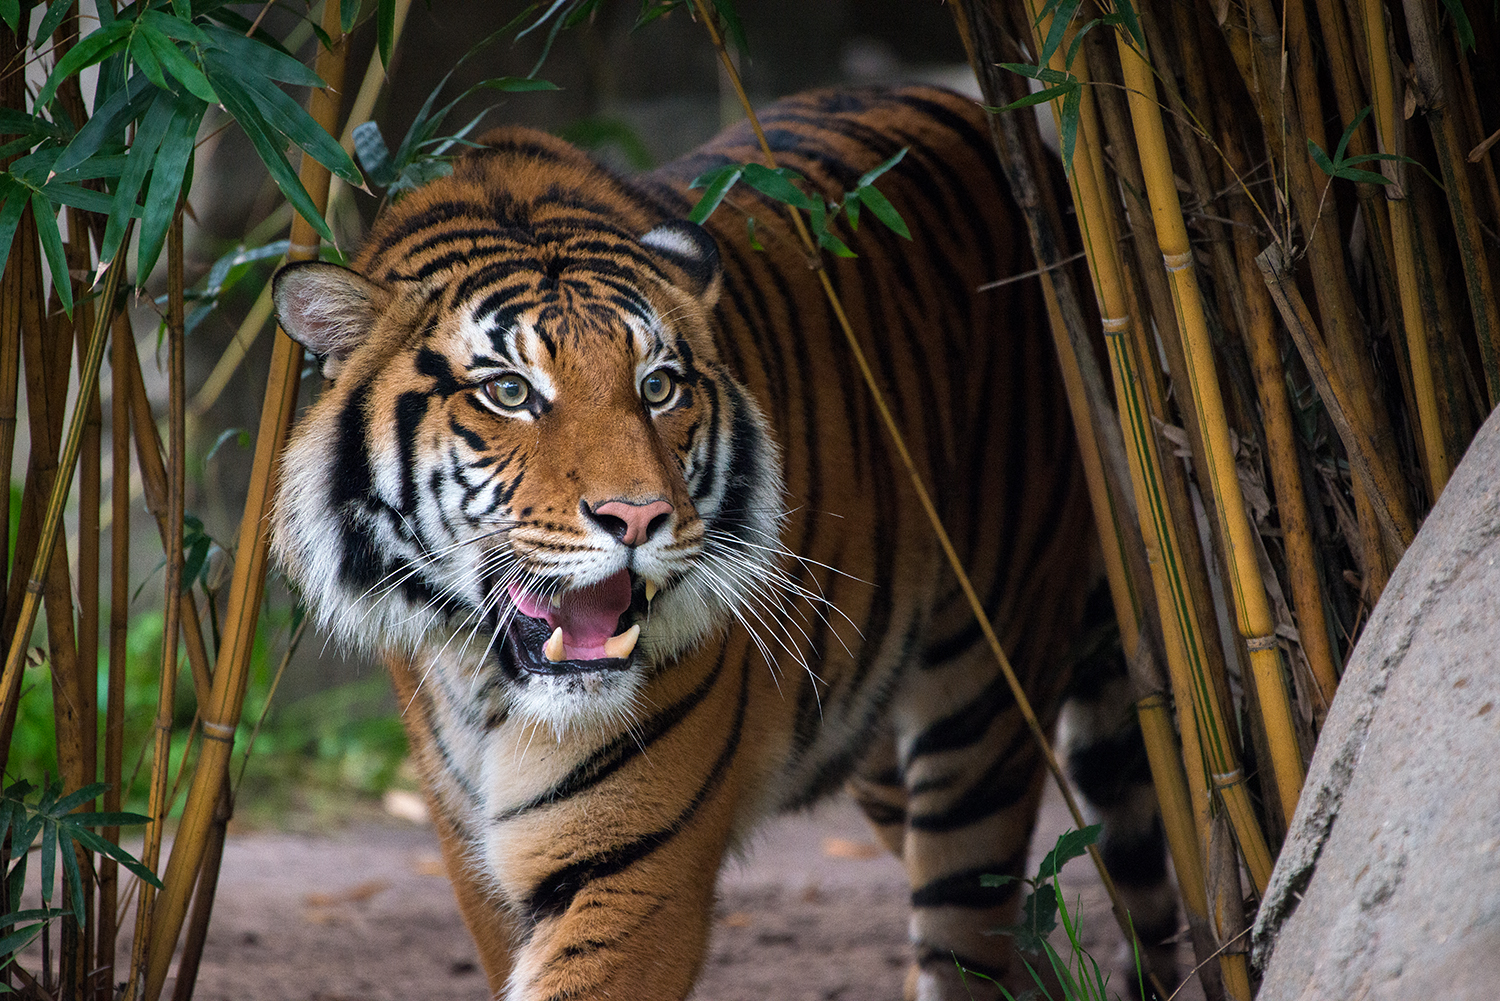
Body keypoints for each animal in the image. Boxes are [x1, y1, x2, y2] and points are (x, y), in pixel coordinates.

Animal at [276, 86, 1176, 1001]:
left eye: (658, 386)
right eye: (510, 392)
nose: (637, 518)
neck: (490, 684)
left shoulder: (630, 862)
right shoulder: (475, 863)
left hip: (985, 702)